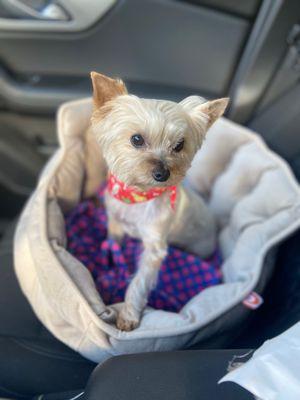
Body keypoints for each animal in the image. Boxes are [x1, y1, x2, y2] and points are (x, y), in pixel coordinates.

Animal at [89, 72, 227, 332]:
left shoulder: (154, 249)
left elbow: (139, 283)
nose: (162, 174)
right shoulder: (115, 221)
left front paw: (128, 316)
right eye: (136, 139)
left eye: (179, 145)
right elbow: (113, 242)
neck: (138, 197)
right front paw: (111, 259)